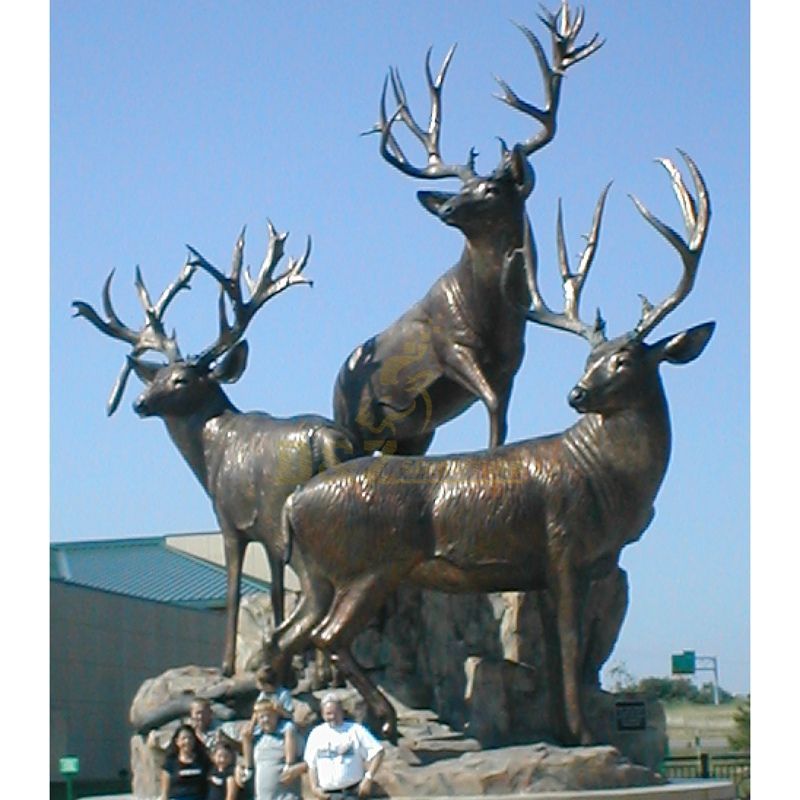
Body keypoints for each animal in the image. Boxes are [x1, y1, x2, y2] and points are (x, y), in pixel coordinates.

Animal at [74, 223, 356, 676]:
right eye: (158, 376)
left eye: (182, 380)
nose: (138, 403)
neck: (210, 456)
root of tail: (326, 441)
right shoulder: (268, 537)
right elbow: (275, 593)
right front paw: (284, 669)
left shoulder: (231, 519)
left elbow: (234, 590)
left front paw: (227, 666)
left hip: (291, 519)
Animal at [270, 152, 712, 744]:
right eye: (593, 358)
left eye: (622, 359)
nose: (577, 394)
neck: (605, 474)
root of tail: (294, 504)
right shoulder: (565, 547)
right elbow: (570, 647)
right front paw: (586, 735)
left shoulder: (548, 568)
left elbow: (558, 652)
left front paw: (562, 731)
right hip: (372, 564)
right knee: (327, 635)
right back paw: (386, 719)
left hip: (319, 572)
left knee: (289, 634)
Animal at [332, 1, 600, 456]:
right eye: (461, 188)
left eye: (490, 188)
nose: (447, 207)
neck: (492, 312)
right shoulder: (452, 346)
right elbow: (490, 405)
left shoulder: (511, 367)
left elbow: (500, 422)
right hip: (349, 416)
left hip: (415, 433)